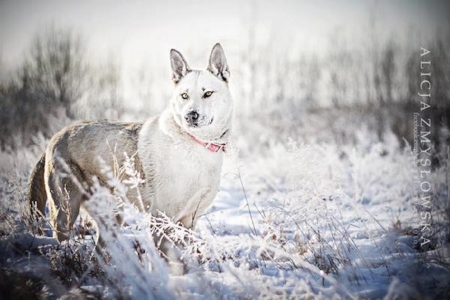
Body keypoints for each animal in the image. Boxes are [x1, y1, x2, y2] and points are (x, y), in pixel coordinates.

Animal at [28, 42, 234, 264]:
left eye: (208, 94)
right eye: (184, 96)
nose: (190, 116)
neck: (196, 143)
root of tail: (55, 137)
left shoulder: (188, 221)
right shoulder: (161, 220)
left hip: (111, 216)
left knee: (98, 251)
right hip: (65, 213)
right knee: (61, 243)